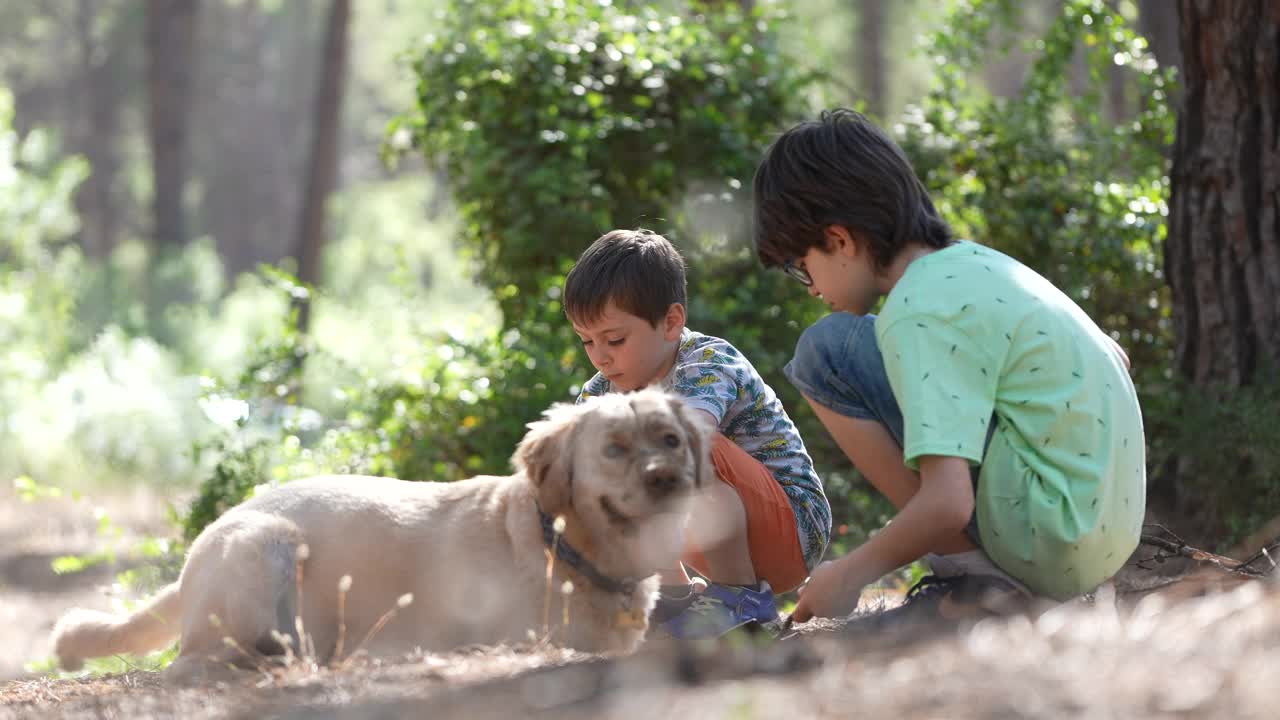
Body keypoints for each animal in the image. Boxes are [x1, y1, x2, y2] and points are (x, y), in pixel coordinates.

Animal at [52, 386, 711, 676]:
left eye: (671, 439)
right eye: (614, 448)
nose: (668, 479)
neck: (566, 547)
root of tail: (209, 533)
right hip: (264, 545)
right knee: (195, 660)